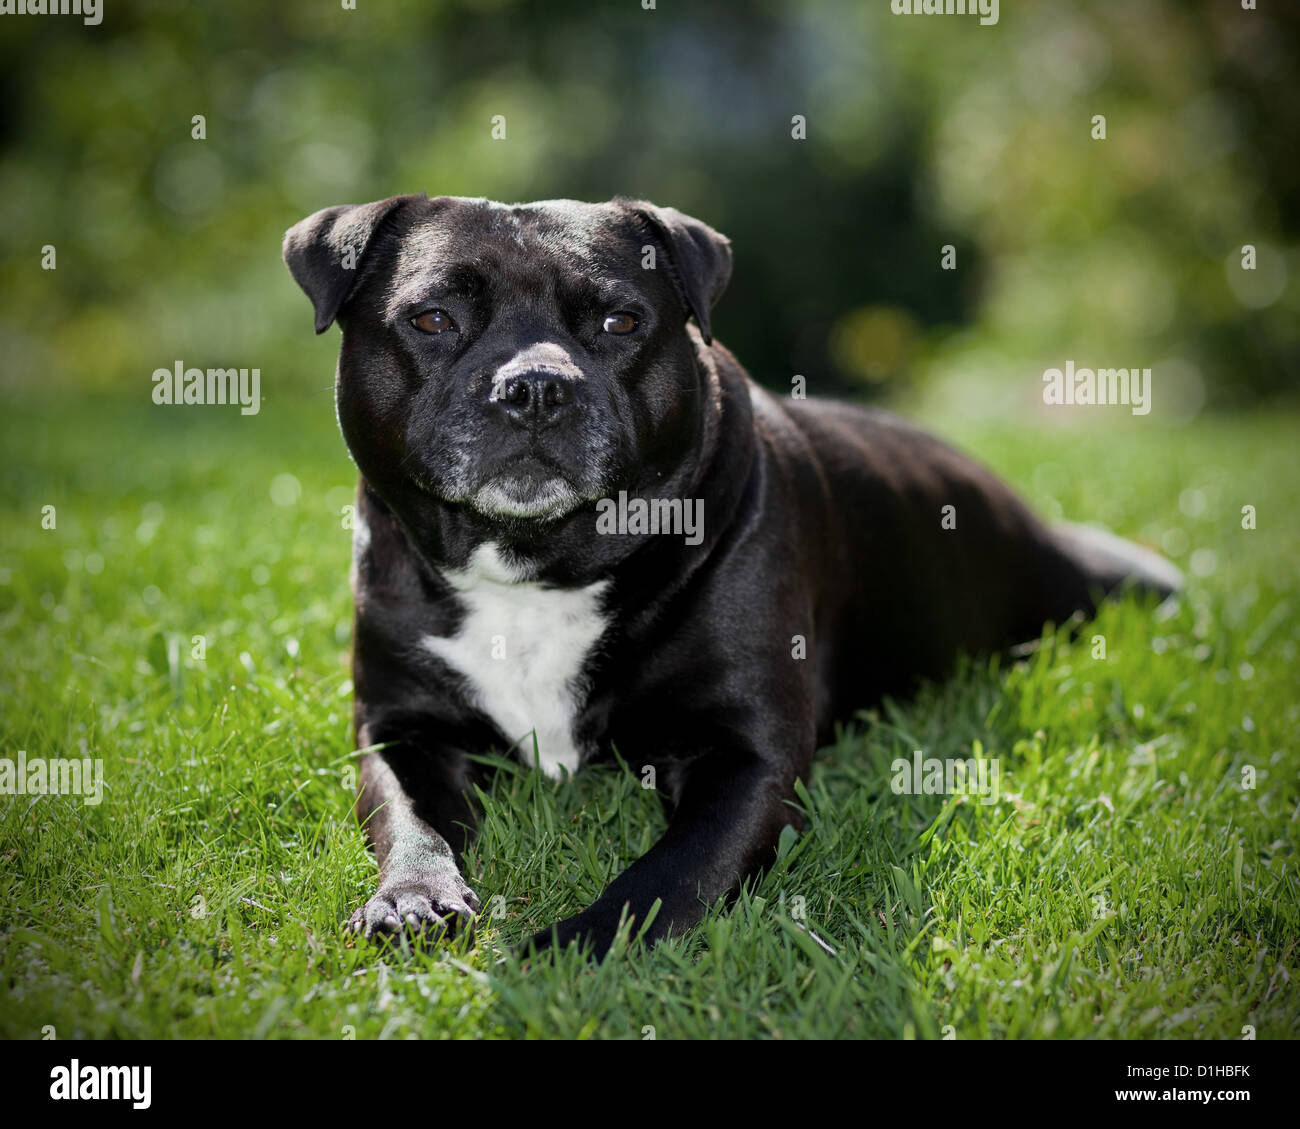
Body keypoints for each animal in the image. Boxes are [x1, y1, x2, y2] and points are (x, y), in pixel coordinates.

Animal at [289, 199, 1185, 957]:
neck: (536, 568)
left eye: (621, 320)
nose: (536, 386)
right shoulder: (400, 726)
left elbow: (671, 870)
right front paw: (411, 896)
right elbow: (409, 817)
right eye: (432, 318)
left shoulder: (748, 757)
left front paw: (581, 943)